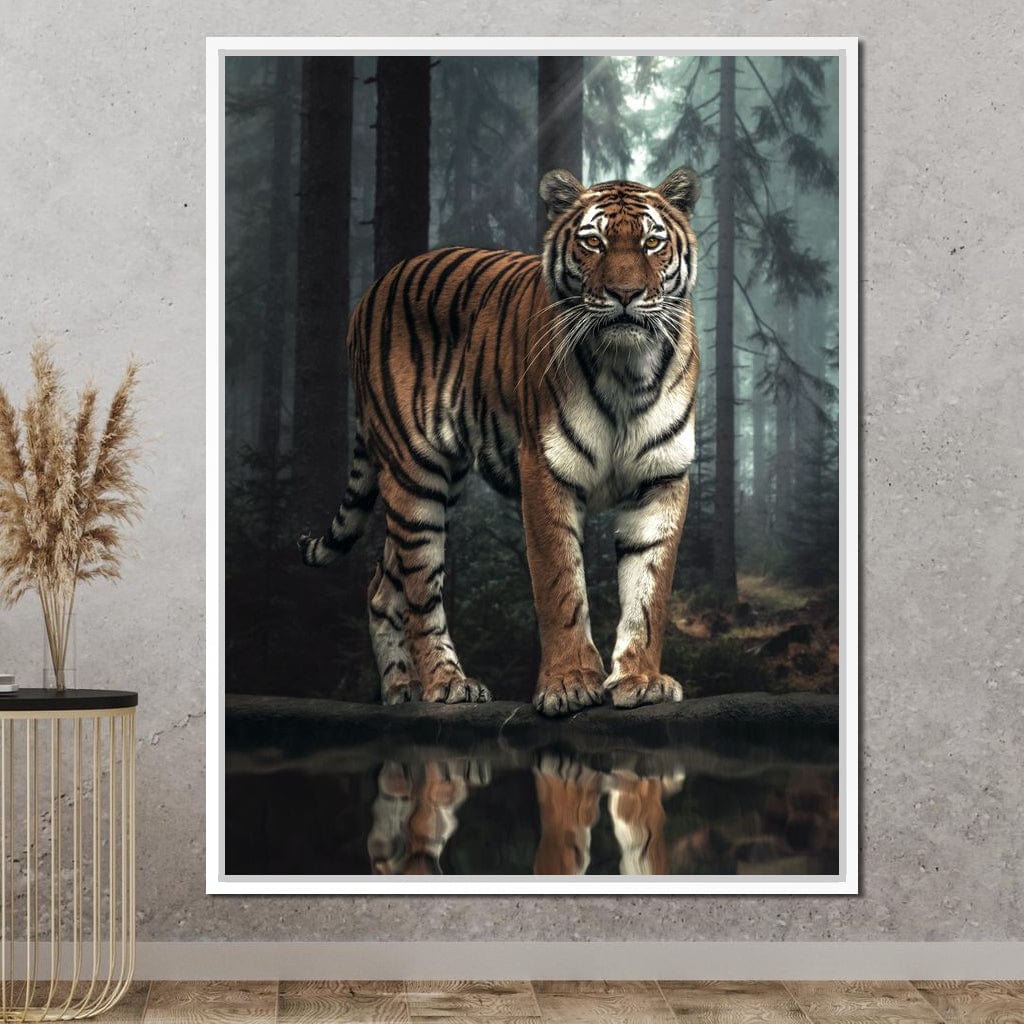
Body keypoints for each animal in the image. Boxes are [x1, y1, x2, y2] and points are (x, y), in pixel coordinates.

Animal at [299, 166, 701, 717]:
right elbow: (560, 585)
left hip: (439, 482)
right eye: (592, 243)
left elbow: (649, 590)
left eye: (652, 242)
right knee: (420, 589)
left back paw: (400, 690)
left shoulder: (661, 478)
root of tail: (374, 287)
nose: (625, 294)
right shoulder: (546, 469)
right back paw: (446, 684)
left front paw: (640, 679)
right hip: (414, 475)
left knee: (384, 583)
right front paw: (570, 684)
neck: (627, 369)